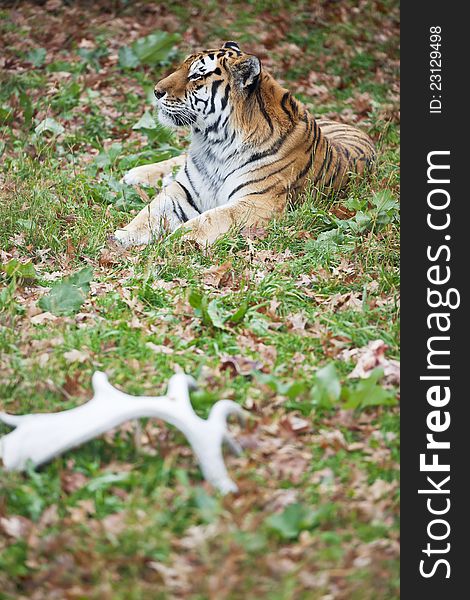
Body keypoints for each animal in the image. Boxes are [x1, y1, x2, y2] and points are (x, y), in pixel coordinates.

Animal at [114, 41, 374, 246]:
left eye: (196, 75)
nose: (156, 91)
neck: (213, 144)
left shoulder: (258, 201)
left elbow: (210, 218)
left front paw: (177, 238)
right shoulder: (183, 190)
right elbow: (151, 210)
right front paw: (124, 235)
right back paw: (134, 174)